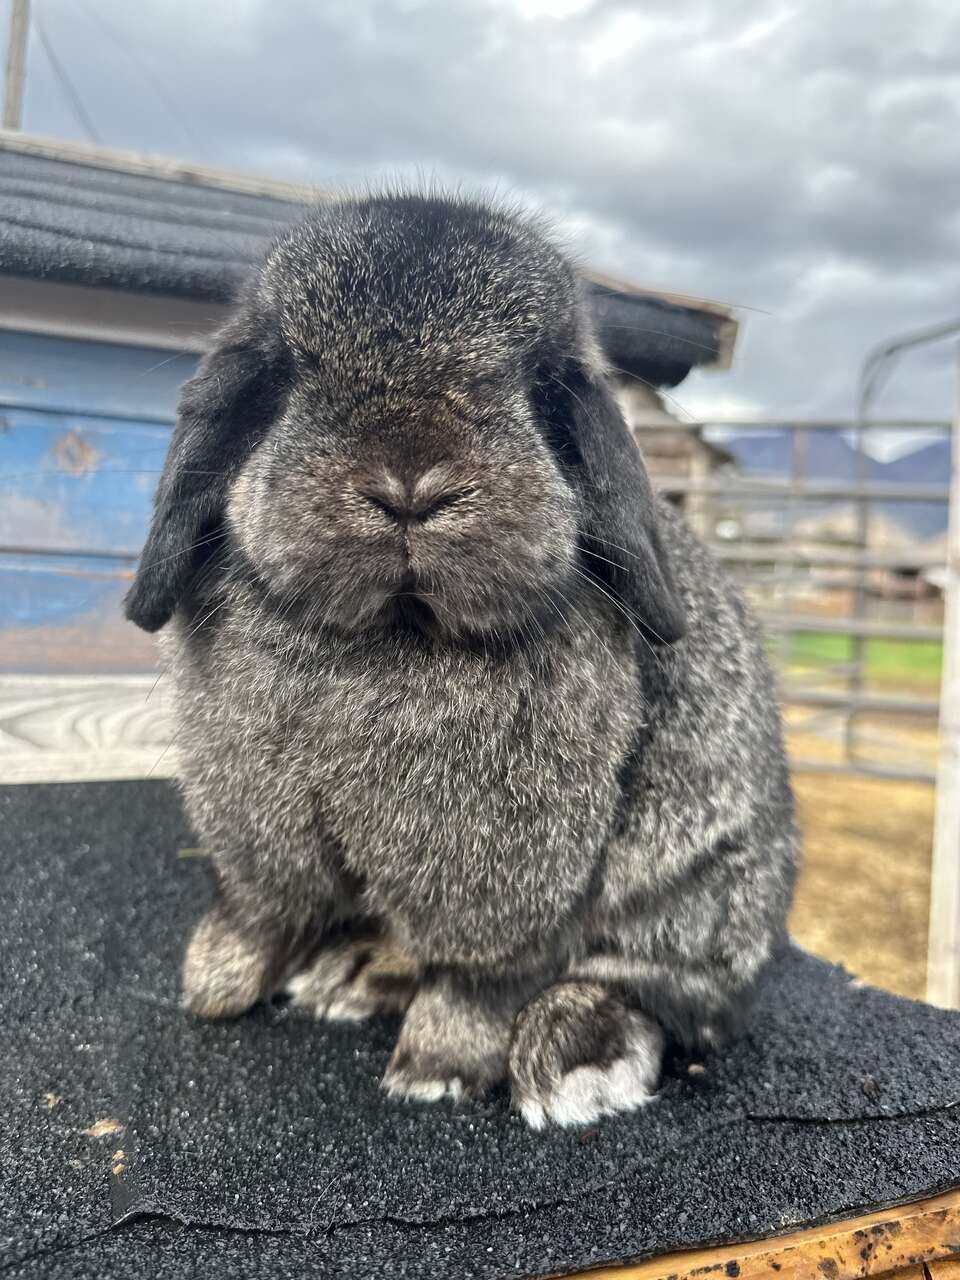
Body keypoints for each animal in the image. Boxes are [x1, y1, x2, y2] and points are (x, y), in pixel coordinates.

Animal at [129, 192, 803, 1131]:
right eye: (287, 373)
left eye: (538, 385)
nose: (410, 485)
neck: (393, 635)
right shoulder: (255, 827)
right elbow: (257, 913)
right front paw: (214, 987)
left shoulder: (511, 877)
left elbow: (482, 979)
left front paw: (435, 1070)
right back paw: (355, 975)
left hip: (692, 884)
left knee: (663, 992)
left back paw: (572, 1057)